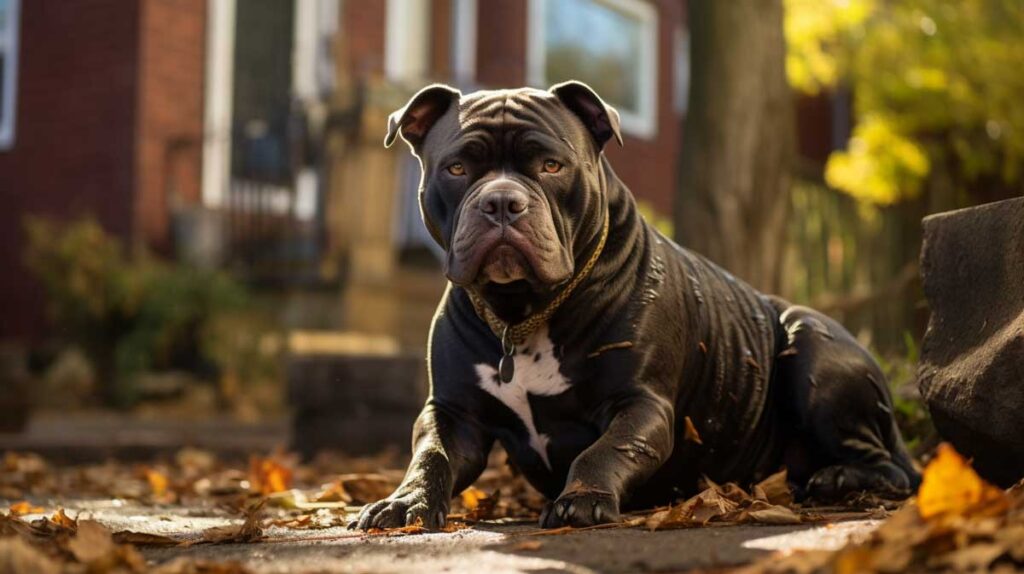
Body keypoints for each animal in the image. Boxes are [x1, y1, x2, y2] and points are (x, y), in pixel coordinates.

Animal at [354, 80, 921, 527]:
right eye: (456, 168)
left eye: (551, 165)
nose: (501, 201)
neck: (523, 311)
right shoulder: (454, 413)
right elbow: (432, 456)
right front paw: (404, 503)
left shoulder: (639, 403)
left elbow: (606, 450)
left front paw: (582, 500)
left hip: (814, 355)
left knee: (889, 466)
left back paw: (838, 477)